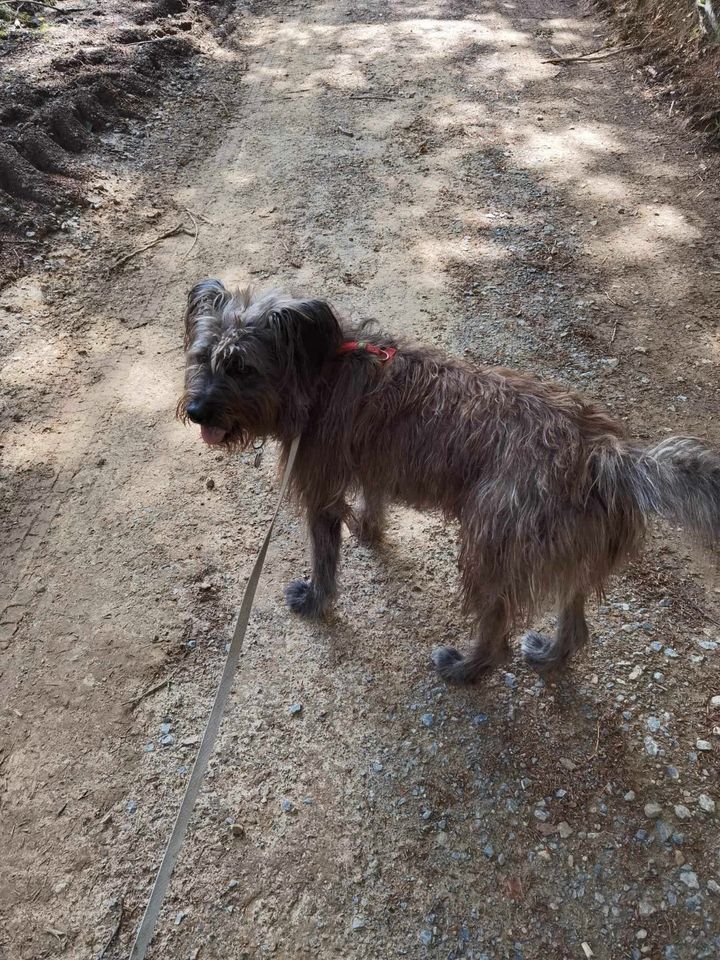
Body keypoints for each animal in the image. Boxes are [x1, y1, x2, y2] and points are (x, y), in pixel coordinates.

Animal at [179, 276, 720, 684]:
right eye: (202, 357)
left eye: (242, 367)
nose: (196, 411)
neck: (320, 370)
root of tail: (604, 455)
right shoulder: (371, 462)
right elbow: (374, 501)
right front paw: (368, 530)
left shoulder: (321, 493)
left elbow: (325, 558)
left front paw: (315, 599)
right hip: (566, 554)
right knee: (576, 625)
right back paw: (549, 655)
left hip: (489, 551)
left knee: (498, 632)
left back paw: (464, 668)